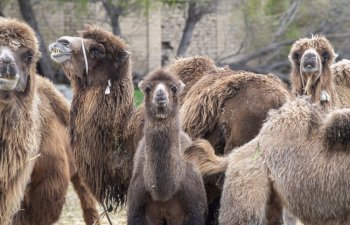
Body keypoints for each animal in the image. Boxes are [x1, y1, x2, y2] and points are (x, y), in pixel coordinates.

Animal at [127, 69, 206, 224]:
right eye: (148, 88)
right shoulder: (138, 212)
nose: (160, 95)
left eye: (173, 88)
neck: (163, 193)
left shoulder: (193, 212)